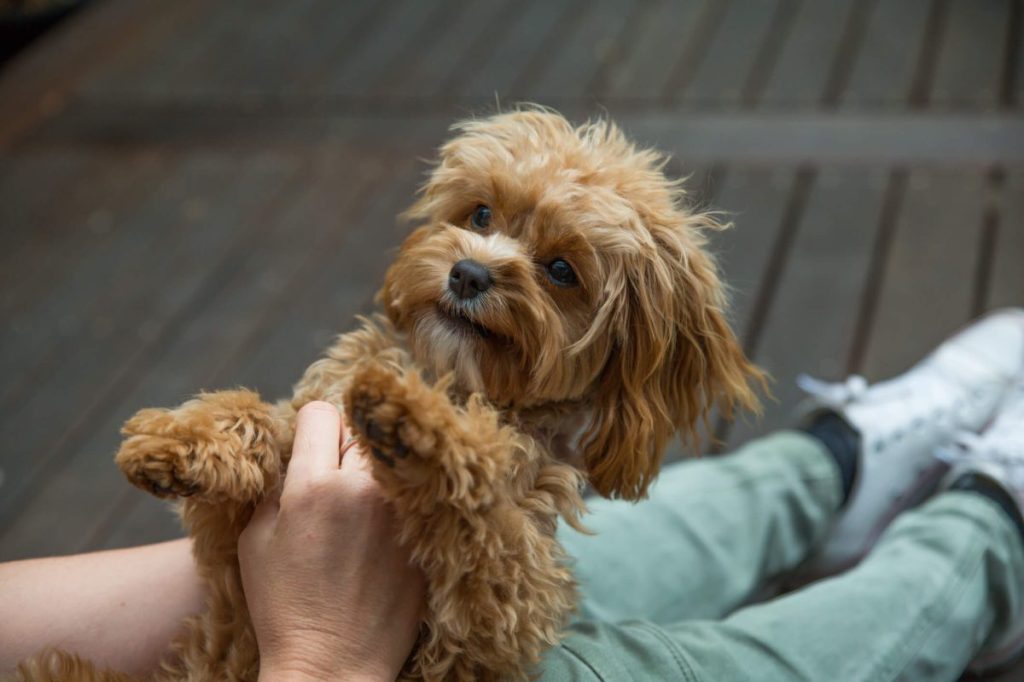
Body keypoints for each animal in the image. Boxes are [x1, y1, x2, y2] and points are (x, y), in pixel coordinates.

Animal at [14, 107, 761, 679]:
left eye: (560, 270)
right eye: (481, 213)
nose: (467, 273)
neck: (456, 376)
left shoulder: (496, 619)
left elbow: (485, 521)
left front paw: (414, 420)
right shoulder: (233, 543)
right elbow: (262, 420)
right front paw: (178, 440)